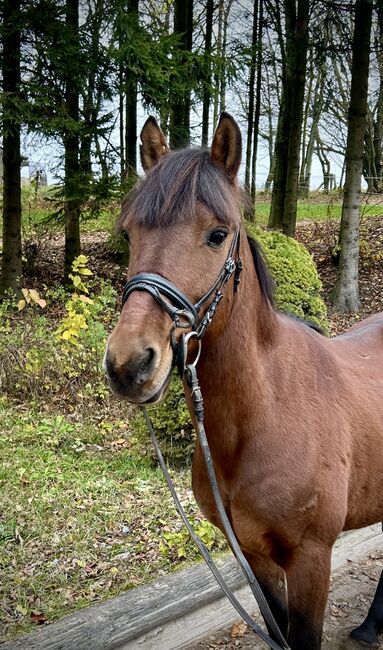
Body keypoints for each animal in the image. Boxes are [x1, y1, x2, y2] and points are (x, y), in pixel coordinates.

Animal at [105, 114, 383, 648]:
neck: (266, 412)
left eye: (217, 235)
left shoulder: (312, 559)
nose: (130, 365)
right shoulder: (253, 557)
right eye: (128, 234)